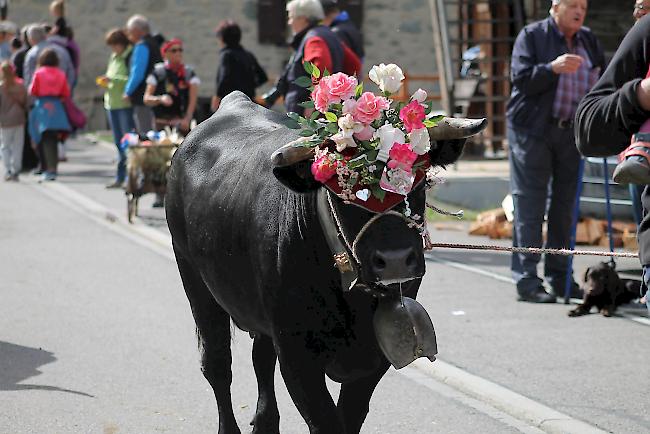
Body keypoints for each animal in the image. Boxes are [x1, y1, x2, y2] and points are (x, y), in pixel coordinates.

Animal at [167, 92, 486, 434]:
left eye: (420, 183)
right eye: (343, 190)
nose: (396, 260)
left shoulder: (375, 357)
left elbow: (350, 415)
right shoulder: (297, 355)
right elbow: (325, 421)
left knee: (260, 358)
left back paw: (265, 422)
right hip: (194, 280)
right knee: (217, 364)